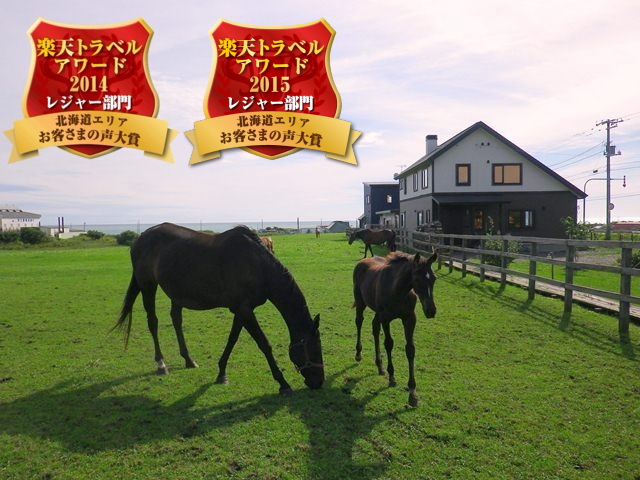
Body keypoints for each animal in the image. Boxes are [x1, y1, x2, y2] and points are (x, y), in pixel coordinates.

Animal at [113, 223, 324, 393]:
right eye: (314, 349)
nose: (319, 382)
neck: (256, 265)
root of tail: (140, 238)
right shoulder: (244, 310)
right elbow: (264, 344)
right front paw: (283, 383)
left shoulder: (241, 309)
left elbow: (232, 339)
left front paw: (222, 373)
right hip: (147, 285)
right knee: (153, 322)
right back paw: (161, 364)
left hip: (175, 292)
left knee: (176, 320)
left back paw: (188, 360)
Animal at [352, 251, 437, 407]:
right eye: (417, 279)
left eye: (434, 278)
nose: (431, 311)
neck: (397, 290)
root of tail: (363, 261)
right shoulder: (386, 319)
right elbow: (389, 344)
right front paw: (392, 377)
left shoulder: (409, 319)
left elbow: (410, 349)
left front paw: (412, 393)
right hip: (361, 303)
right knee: (359, 322)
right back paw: (358, 354)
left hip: (377, 313)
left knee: (374, 328)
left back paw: (380, 366)